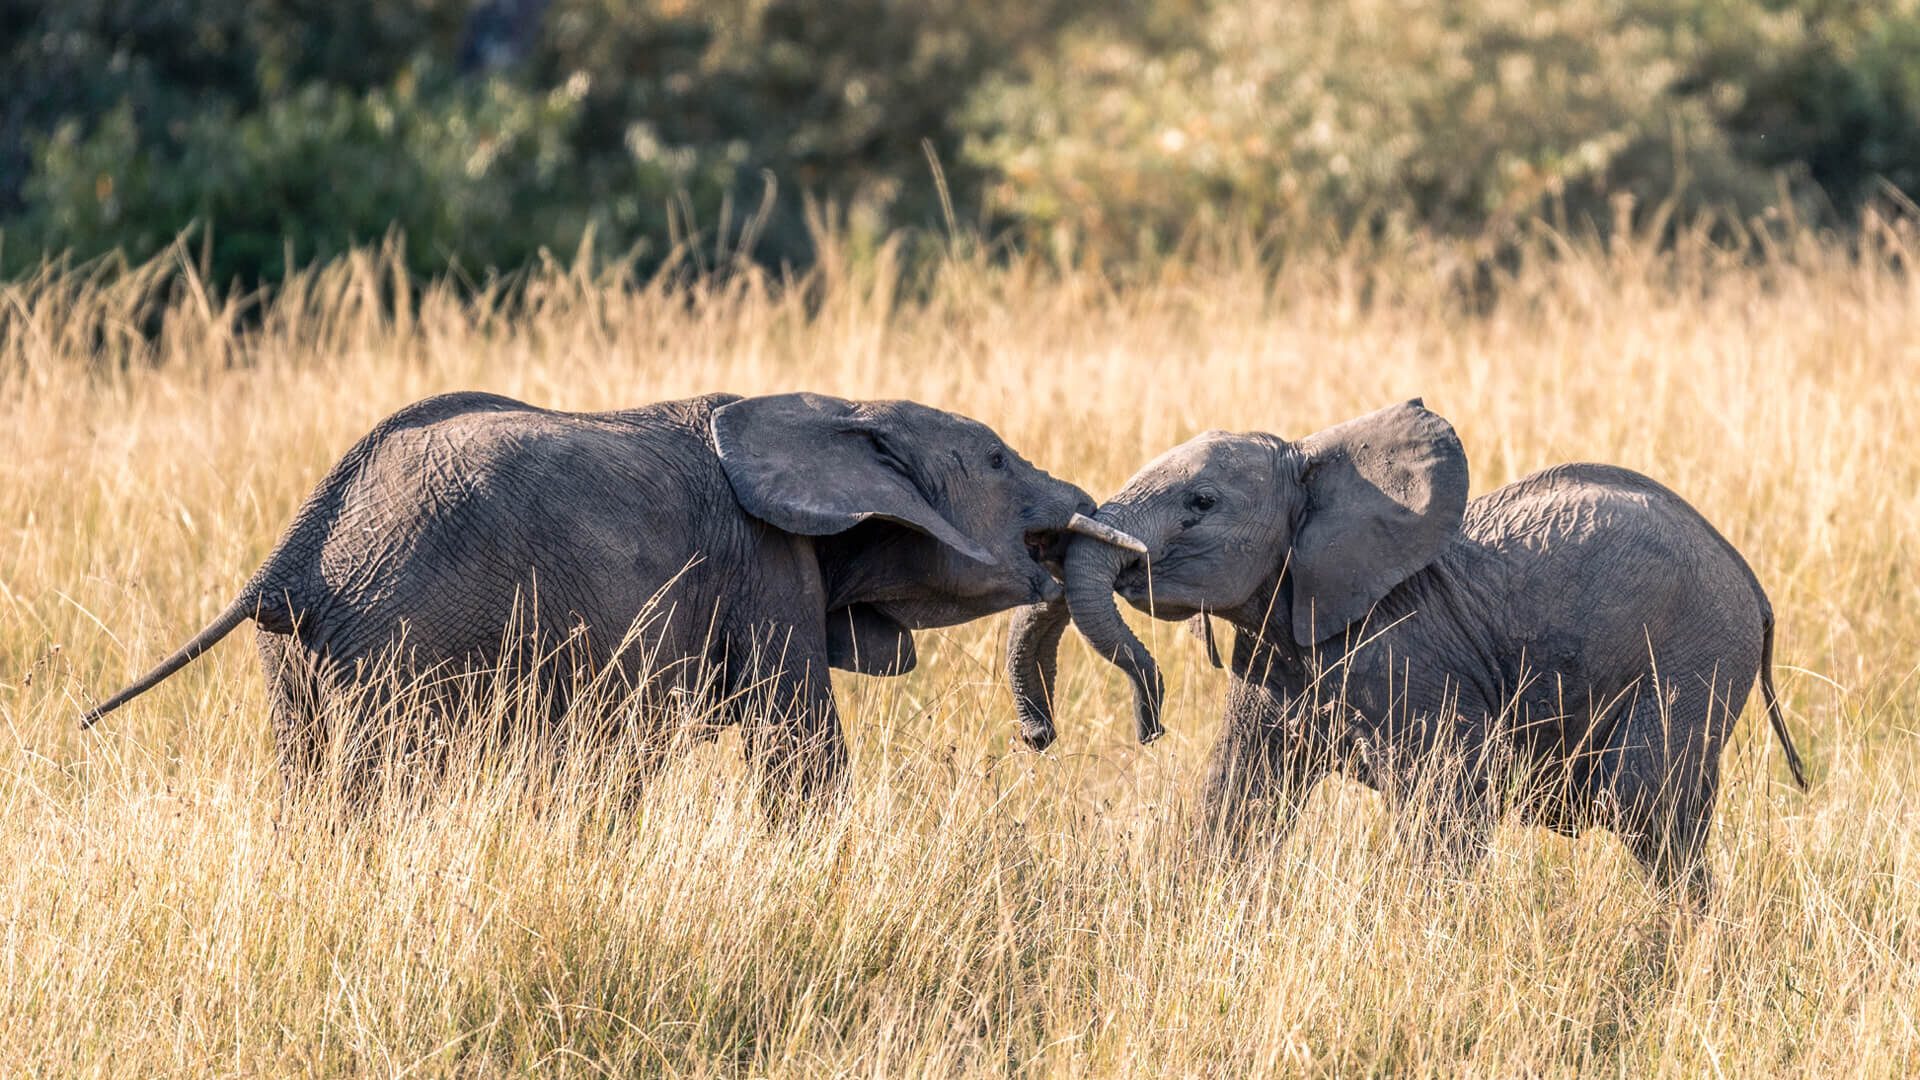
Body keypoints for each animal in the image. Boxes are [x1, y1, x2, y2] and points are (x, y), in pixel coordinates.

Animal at [83, 389, 1141, 804]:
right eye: (997, 459)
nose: (1039, 737)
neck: (837, 408)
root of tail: (292, 555)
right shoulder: (766, 564)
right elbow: (798, 745)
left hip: (302, 658)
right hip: (404, 634)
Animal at [1009, 400, 1807, 898]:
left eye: (1200, 504)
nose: (1038, 734)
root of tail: (1752, 585)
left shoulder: (1409, 658)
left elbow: (1446, 808)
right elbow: (1238, 796)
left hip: (1694, 654)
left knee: (1647, 806)